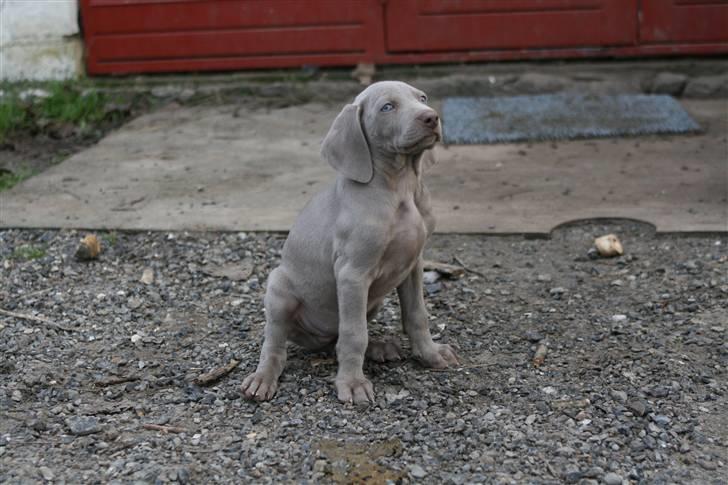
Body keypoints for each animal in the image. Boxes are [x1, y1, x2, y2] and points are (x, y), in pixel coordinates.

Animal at [242, 80, 458, 404]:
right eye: (387, 107)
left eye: (422, 98)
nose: (431, 117)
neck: (400, 187)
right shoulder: (353, 273)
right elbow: (355, 334)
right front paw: (353, 383)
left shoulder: (413, 264)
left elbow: (417, 314)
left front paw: (429, 354)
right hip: (279, 288)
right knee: (276, 343)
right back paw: (263, 377)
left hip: (371, 302)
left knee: (337, 339)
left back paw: (380, 347)